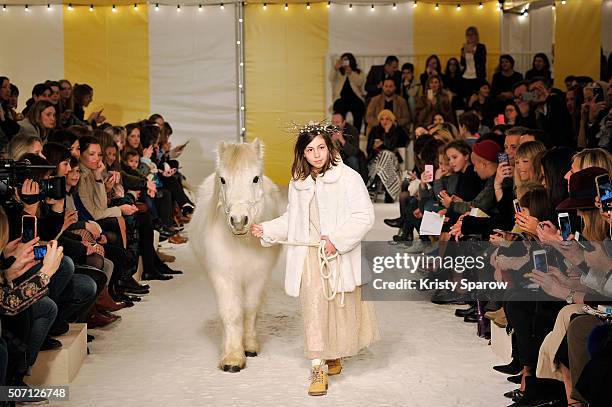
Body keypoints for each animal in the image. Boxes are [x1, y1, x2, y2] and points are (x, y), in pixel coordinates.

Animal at [189, 139, 282, 372]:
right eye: (222, 179)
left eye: (255, 178)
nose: (239, 221)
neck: (241, 242)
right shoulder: (223, 277)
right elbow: (231, 313)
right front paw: (232, 356)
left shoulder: (258, 276)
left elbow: (249, 309)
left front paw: (249, 346)